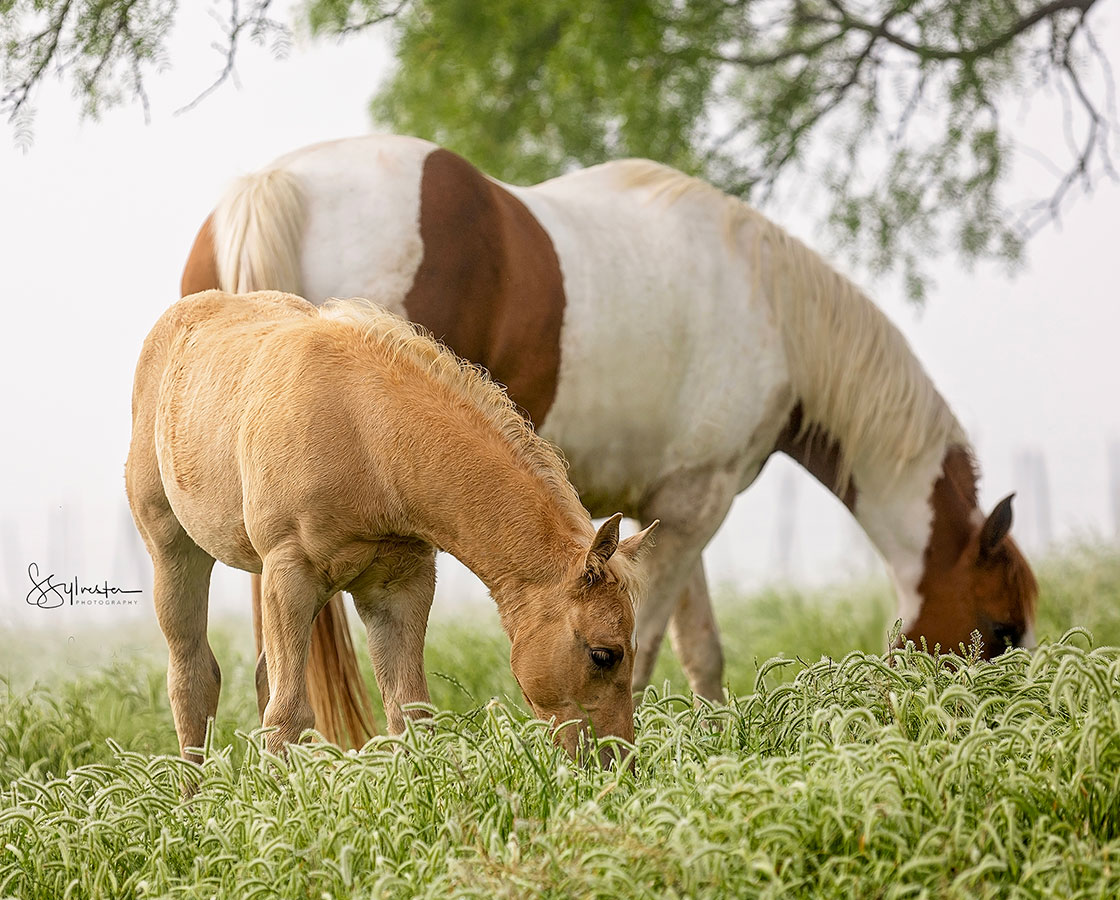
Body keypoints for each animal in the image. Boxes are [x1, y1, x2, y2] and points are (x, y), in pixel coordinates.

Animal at [128, 291, 654, 765]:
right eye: (604, 654)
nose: (616, 763)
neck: (366, 435)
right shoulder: (290, 572)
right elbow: (288, 716)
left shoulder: (398, 586)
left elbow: (409, 713)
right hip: (176, 552)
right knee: (194, 678)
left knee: (263, 675)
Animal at [179, 132, 1034, 738]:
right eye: (1001, 631)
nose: (999, 727)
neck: (771, 309)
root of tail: (276, 186)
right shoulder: (696, 504)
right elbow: (649, 645)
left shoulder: (665, 504)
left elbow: (702, 647)